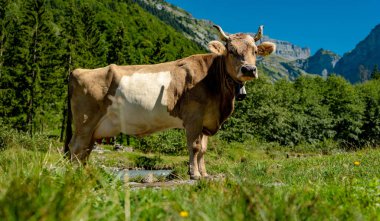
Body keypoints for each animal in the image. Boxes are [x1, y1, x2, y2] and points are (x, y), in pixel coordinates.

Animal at [63, 25, 274, 180]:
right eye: (231, 50)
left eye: (255, 51)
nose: (249, 69)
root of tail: (77, 71)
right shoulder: (193, 117)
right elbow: (194, 146)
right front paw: (194, 174)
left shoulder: (206, 120)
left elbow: (203, 149)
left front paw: (205, 173)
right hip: (85, 120)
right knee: (76, 147)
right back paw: (74, 177)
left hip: (92, 128)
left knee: (85, 150)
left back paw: (84, 174)